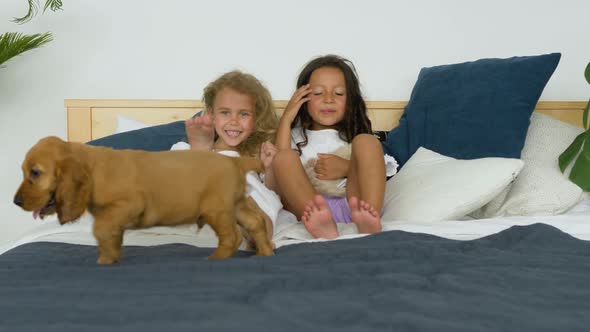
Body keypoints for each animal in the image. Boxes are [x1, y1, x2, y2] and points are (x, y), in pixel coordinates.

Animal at [13, 136, 272, 264]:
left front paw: (105, 260)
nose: (16, 202)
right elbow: (110, 236)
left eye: (35, 173)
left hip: (217, 210)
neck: (93, 169)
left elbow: (101, 228)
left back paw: (215, 259)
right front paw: (110, 258)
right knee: (256, 222)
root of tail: (235, 160)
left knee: (232, 237)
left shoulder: (129, 204)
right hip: (236, 206)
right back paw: (265, 253)